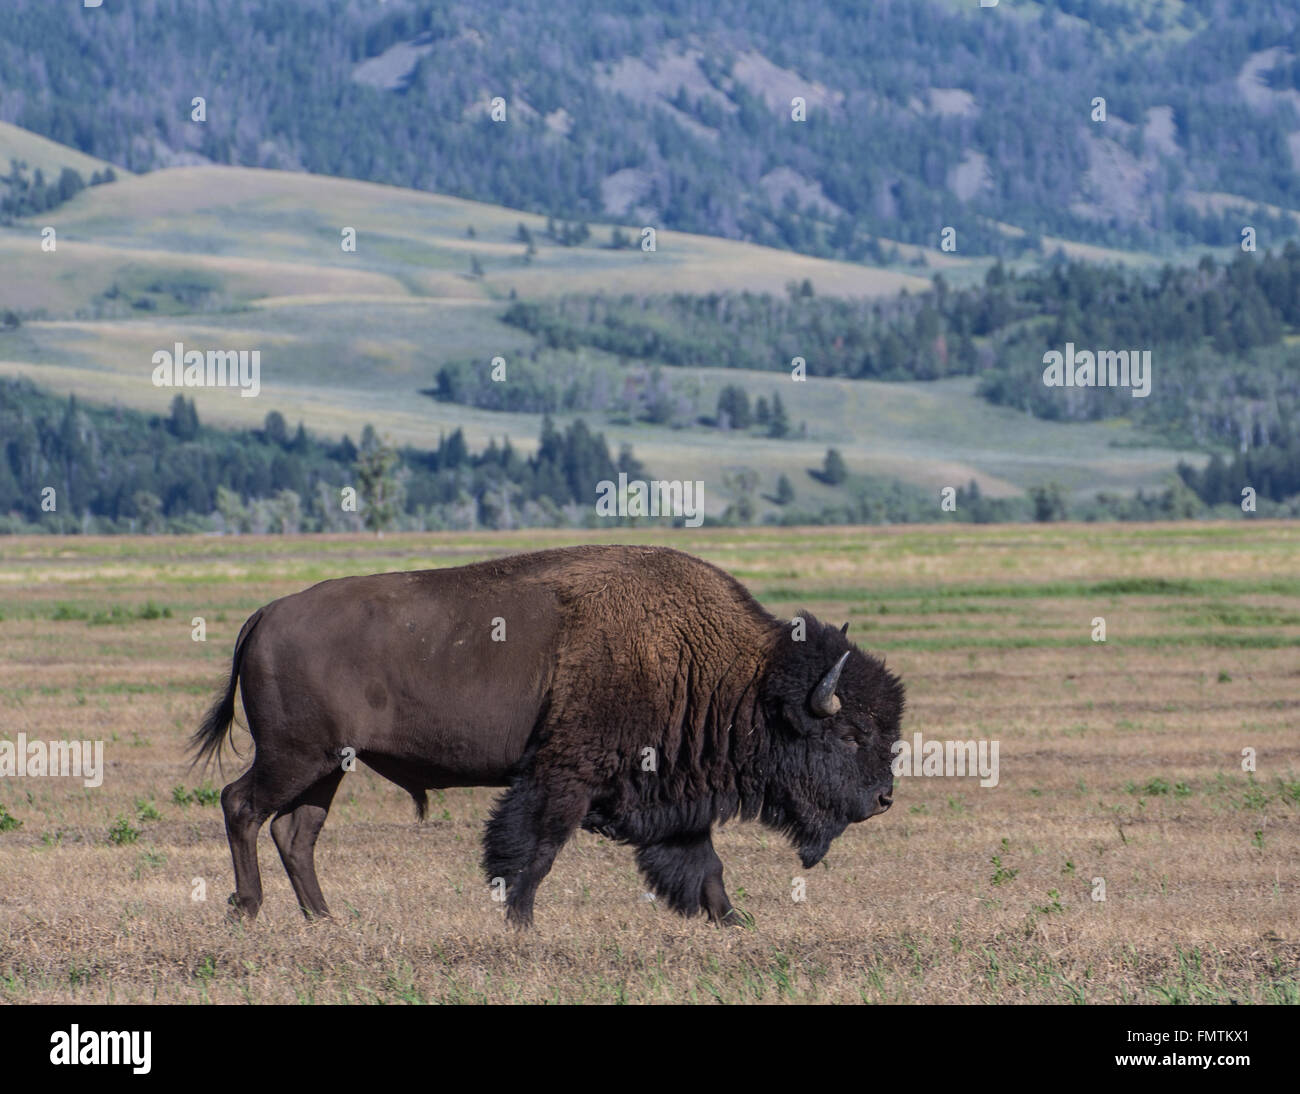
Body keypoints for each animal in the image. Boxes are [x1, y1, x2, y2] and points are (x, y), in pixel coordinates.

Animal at [192, 544, 904, 926]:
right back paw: (246, 909)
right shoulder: (564, 774)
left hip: (328, 768)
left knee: (296, 831)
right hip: (294, 757)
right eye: (848, 734)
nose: (883, 799)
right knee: (242, 805)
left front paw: (735, 921)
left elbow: (704, 864)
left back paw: (326, 919)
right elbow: (534, 850)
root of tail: (266, 614)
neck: (735, 672)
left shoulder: (674, 796)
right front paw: (521, 924)